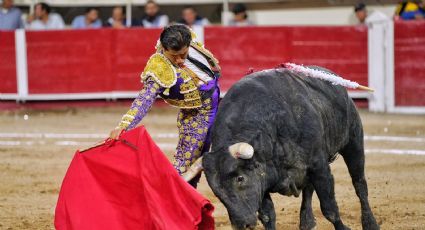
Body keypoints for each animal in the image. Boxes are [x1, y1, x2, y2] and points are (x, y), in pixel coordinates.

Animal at [200, 67, 380, 230]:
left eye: (240, 178)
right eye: (216, 191)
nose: (241, 225)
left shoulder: (320, 168)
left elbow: (330, 209)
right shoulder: (263, 181)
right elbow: (268, 216)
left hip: (353, 143)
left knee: (359, 184)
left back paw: (370, 223)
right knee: (308, 189)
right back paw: (307, 222)